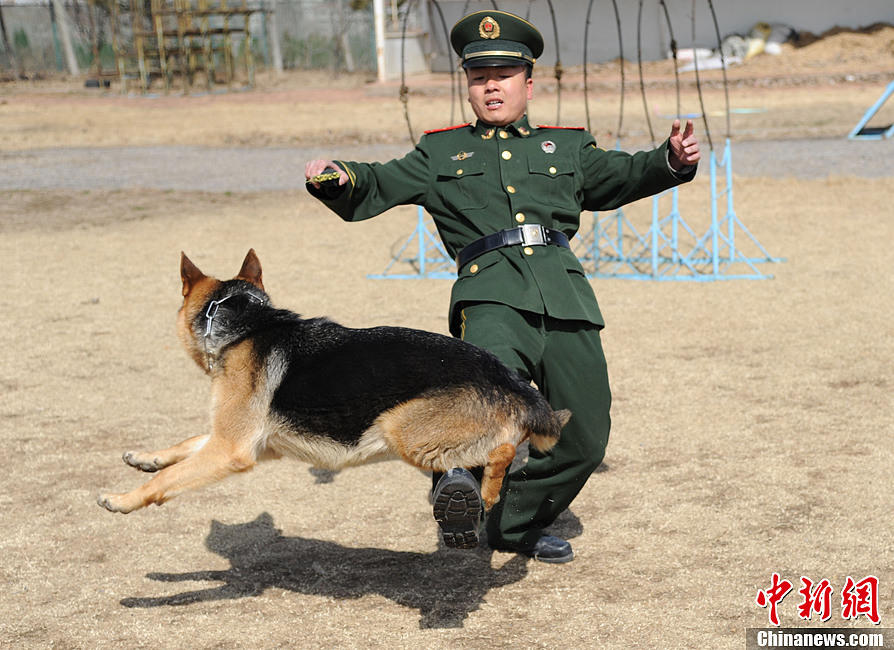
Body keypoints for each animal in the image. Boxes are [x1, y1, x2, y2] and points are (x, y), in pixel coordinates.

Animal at [96, 248, 576, 528]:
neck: (248, 324)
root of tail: (507, 378)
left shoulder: (232, 449)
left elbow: (169, 479)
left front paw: (123, 499)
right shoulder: (246, 442)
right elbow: (184, 444)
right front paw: (145, 457)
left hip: (402, 429)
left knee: (504, 449)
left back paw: (491, 489)